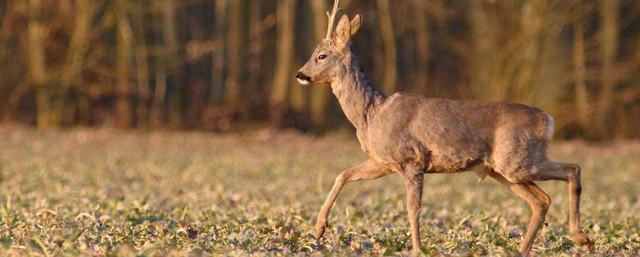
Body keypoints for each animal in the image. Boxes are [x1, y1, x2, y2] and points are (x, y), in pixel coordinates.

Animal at [296, 1, 596, 255]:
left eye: (321, 56)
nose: (300, 74)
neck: (371, 115)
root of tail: (548, 119)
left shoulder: (411, 159)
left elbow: (413, 208)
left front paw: (418, 249)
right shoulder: (383, 162)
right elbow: (343, 175)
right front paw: (319, 229)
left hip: (517, 161)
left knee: (573, 169)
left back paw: (581, 238)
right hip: (504, 171)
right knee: (542, 200)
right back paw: (524, 249)